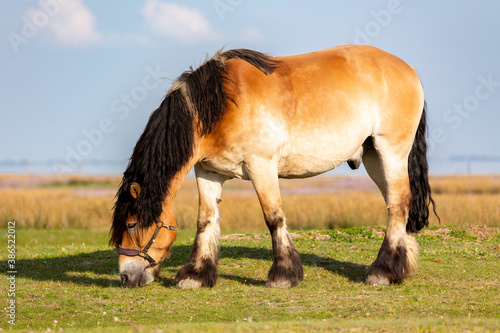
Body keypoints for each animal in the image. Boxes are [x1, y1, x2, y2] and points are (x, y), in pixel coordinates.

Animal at [110, 44, 438, 288]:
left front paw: (283, 274)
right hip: (373, 158)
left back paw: (383, 271)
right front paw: (196, 275)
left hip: (391, 152)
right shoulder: (208, 171)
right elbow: (206, 220)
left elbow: (273, 217)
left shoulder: (261, 166)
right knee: (398, 204)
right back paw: (403, 265)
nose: (125, 276)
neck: (218, 107)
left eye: (131, 224)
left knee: (398, 204)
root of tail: (409, 71)